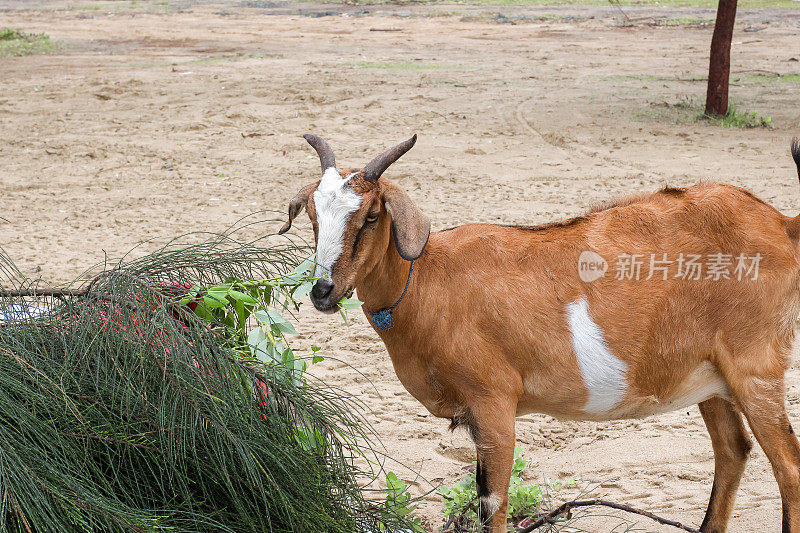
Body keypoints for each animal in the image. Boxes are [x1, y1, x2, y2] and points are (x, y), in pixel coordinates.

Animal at [282, 135, 800, 528]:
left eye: (371, 216)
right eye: (312, 216)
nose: (323, 291)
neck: (429, 279)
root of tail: (782, 223)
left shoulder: (493, 402)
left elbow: (493, 503)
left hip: (755, 367)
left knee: (789, 468)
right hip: (710, 377)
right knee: (733, 451)